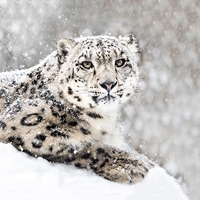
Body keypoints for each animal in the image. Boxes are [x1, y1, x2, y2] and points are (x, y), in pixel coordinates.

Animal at [0, 35, 154, 183]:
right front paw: (130, 164)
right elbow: (81, 147)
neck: (103, 119)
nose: (108, 83)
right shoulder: (22, 125)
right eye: (87, 64)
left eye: (120, 62)